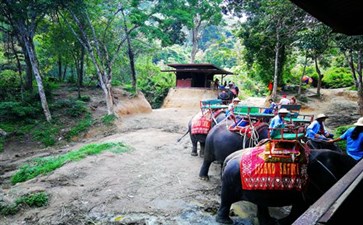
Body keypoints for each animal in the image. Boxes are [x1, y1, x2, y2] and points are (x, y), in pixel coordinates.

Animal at [216, 149, 358, 224]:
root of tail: (229, 158)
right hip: (231, 180)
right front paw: (285, 222)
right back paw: (226, 222)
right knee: (227, 199)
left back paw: (270, 221)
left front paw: (281, 222)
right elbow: (301, 206)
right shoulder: (315, 184)